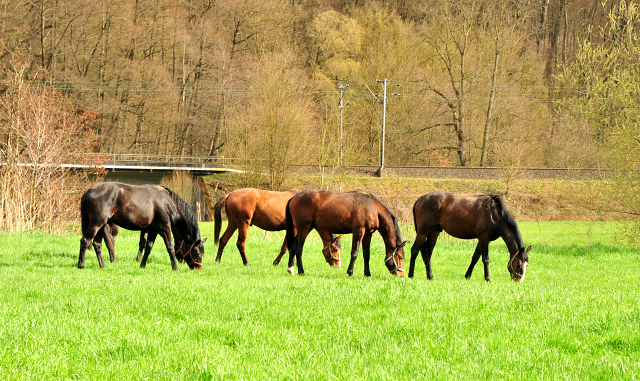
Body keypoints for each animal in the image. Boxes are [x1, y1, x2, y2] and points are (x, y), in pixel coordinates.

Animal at [212, 188, 342, 266]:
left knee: (223, 240)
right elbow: (288, 248)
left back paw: (217, 260)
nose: (337, 265)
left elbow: (287, 248)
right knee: (240, 244)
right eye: (335, 249)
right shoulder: (294, 230)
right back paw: (246, 262)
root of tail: (231, 194)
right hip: (243, 224)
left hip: (233, 224)